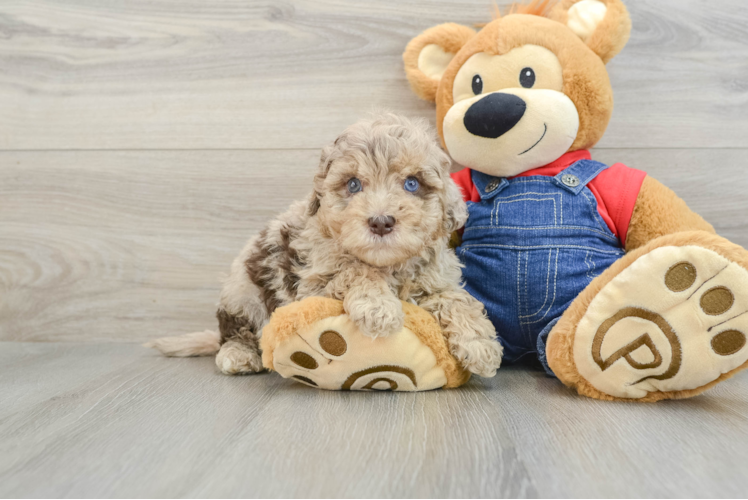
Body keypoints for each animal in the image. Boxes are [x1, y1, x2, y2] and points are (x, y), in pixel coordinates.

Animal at [148, 113, 502, 376]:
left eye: (412, 184)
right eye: (353, 184)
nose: (381, 222)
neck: (387, 264)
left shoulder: (435, 280)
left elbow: (458, 300)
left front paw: (479, 344)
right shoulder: (314, 284)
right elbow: (353, 271)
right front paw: (378, 307)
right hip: (243, 291)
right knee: (236, 332)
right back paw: (238, 355)